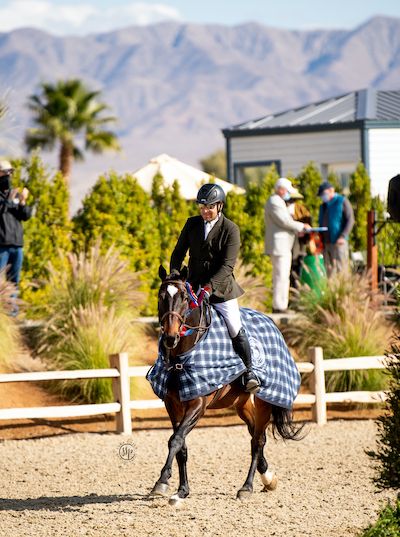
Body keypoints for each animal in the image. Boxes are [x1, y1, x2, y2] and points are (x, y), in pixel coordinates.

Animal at [149, 266, 304, 504]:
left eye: (184, 297)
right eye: (160, 296)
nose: (170, 338)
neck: (182, 356)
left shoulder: (198, 405)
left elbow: (175, 440)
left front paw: (163, 481)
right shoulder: (173, 405)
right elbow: (181, 446)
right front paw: (182, 491)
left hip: (264, 400)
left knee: (258, 440)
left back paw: (247, 487)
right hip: (241, 403)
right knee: (254, 433)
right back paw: (267, 477)